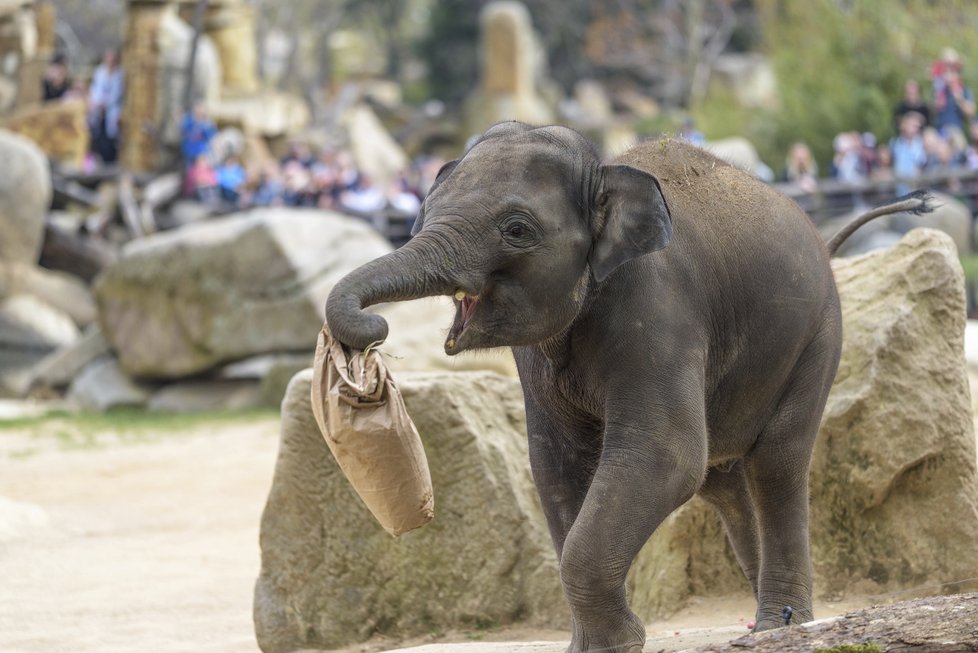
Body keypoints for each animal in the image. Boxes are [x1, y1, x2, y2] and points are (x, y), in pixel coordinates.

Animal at [326, 122, 932, 652]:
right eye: (422, 214)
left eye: (517, 230)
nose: (373, 332)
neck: (603, 176)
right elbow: (556, 466)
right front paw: (595, 645)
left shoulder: (659, 306)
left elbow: (666, 455)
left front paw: (618, 643)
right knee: (722, 481)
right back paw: (766, 623)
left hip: (817, 335)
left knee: (776, 460)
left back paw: (782, 626)